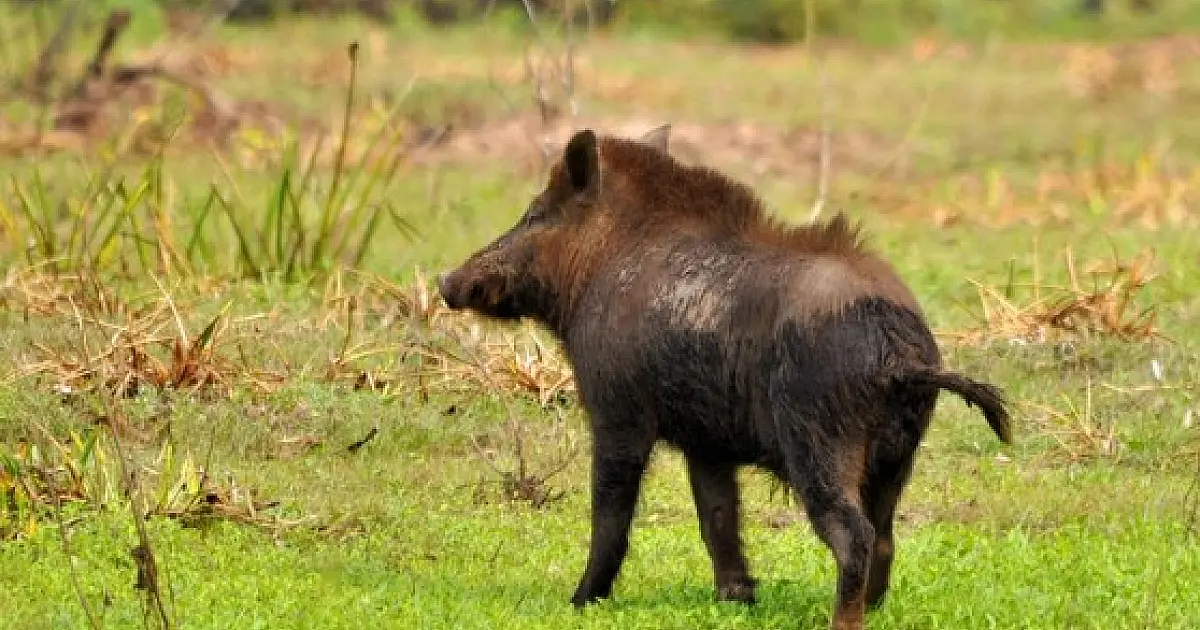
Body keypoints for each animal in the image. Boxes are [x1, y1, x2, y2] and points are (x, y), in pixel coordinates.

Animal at [437, 125, 1012, 630]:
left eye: (535, 214)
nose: (446, 280)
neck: (602, 266)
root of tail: (901, 355)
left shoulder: (617, 410)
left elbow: (611, 513)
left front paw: (579, 602)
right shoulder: (707, 441)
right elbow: (717, 516)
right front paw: (736, 600)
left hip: (821, 441)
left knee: (856, 536)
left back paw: (841, 621)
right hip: (898, 455)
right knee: (885, 536)